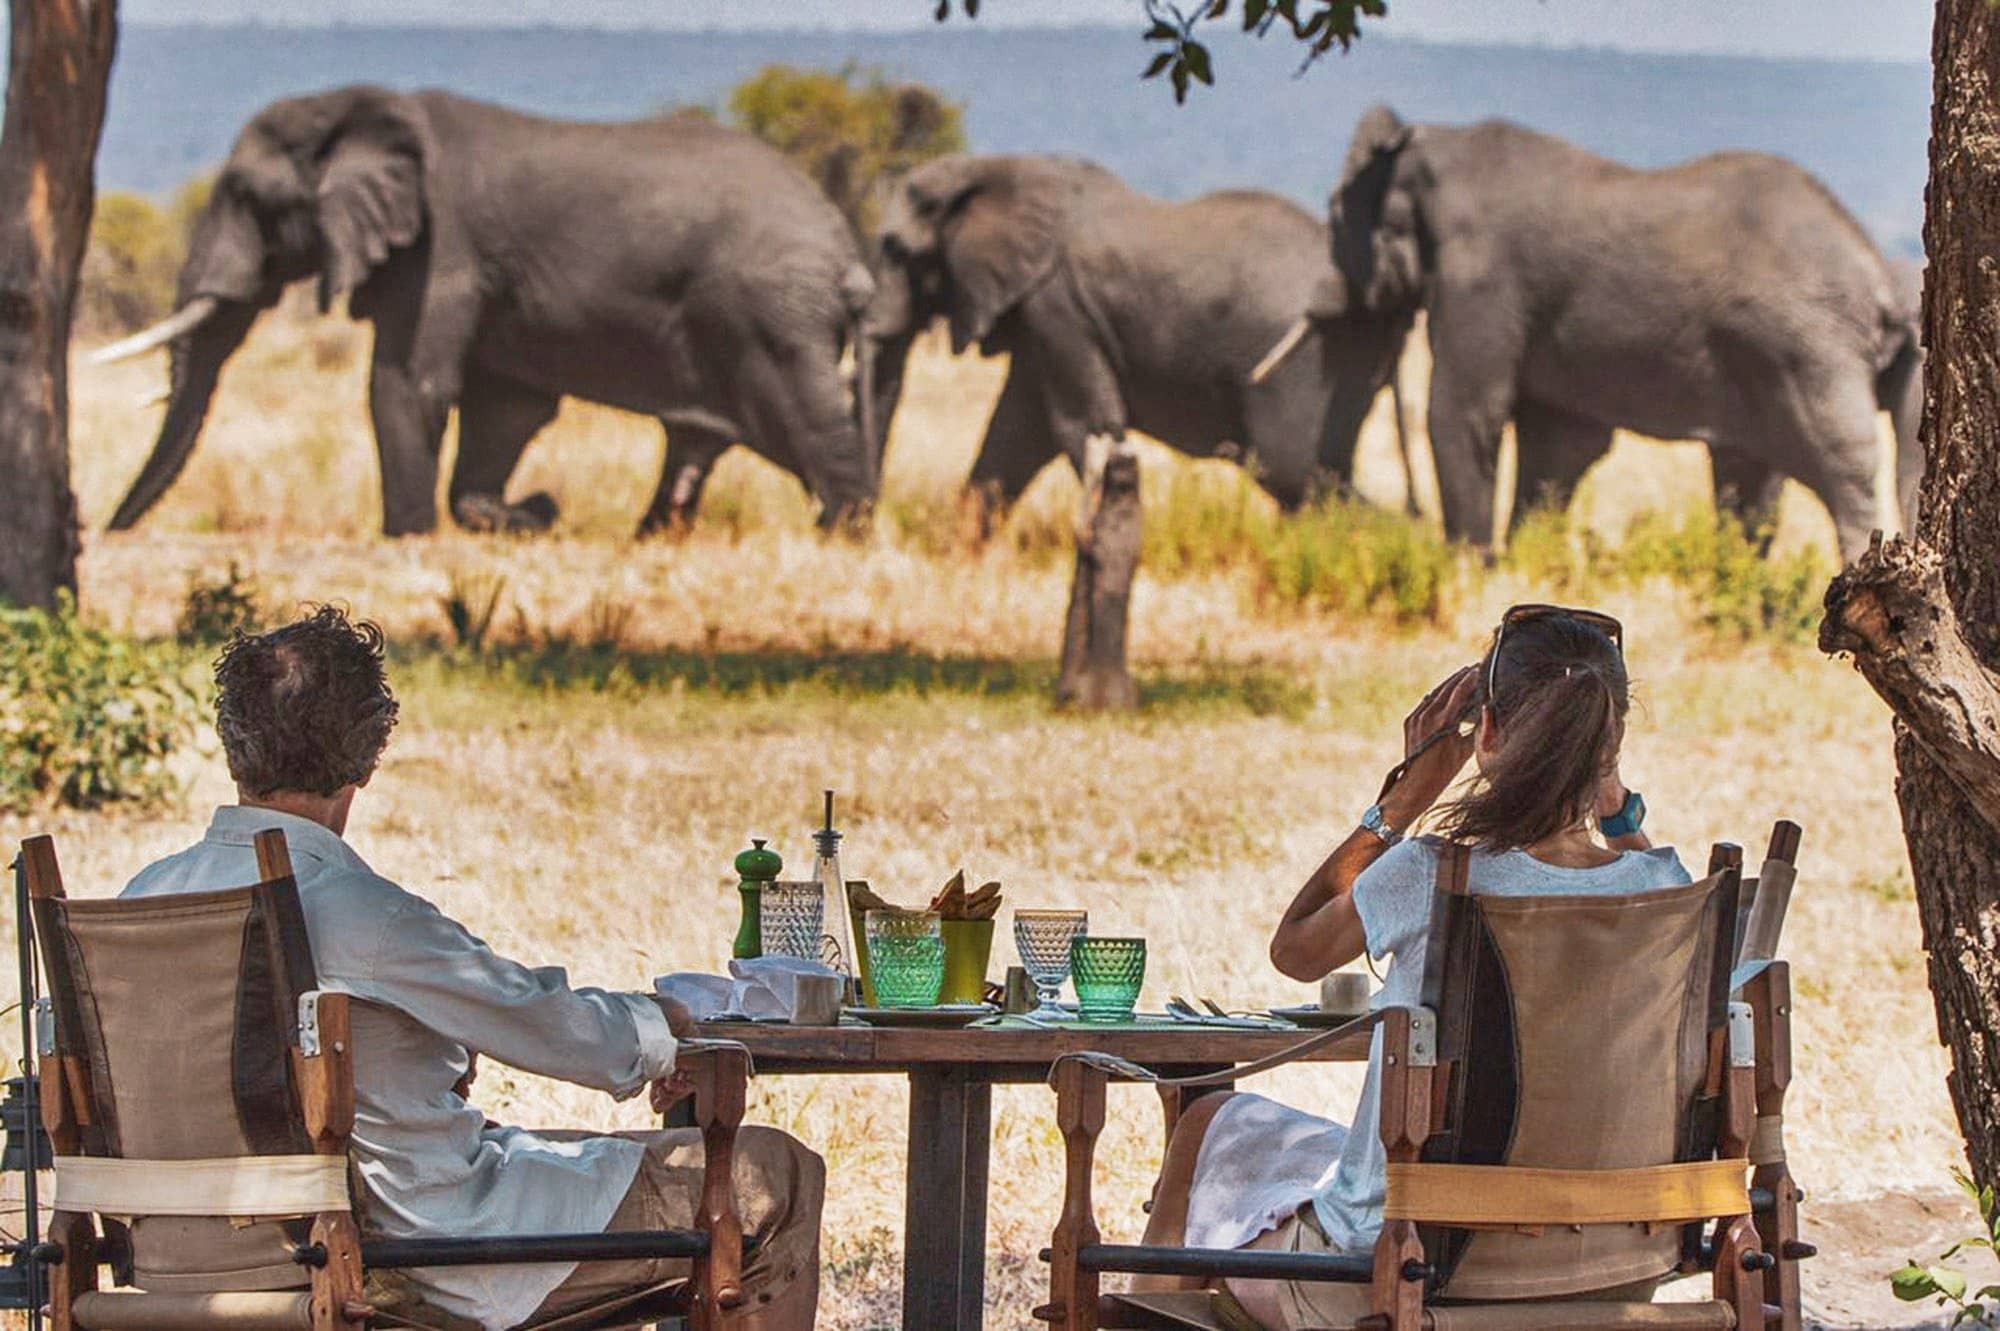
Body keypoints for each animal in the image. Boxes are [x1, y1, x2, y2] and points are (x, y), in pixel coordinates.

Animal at [97, 86, 879, 537]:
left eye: (245, 196)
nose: (107, 531)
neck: (365, 109)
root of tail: (847, 252)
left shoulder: (440, 249)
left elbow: (407, 385)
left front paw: (410, 538)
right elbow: (507, 408)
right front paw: (527, 513)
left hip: (771, 317)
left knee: (811, 427)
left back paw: (846, 531)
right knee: (697, 447)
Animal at [859, 153, 1410, 524]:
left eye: (895, 250)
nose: (859, 529)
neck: (991, 168)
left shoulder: (1058, 305)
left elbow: (1081, 427)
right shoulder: (1049, 321)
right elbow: (1015, 434)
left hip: (1304, 357)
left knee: (1293, 469)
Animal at [1288, 105, 1922, 559]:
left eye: (1334, 213)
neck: (1436, 145)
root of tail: (1879, 274)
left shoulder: (1481, 281)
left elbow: (1464, 413)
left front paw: (1470, 569)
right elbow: (1560, 444)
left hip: (1810, 349)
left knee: (1842, 473)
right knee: (1762, 477)